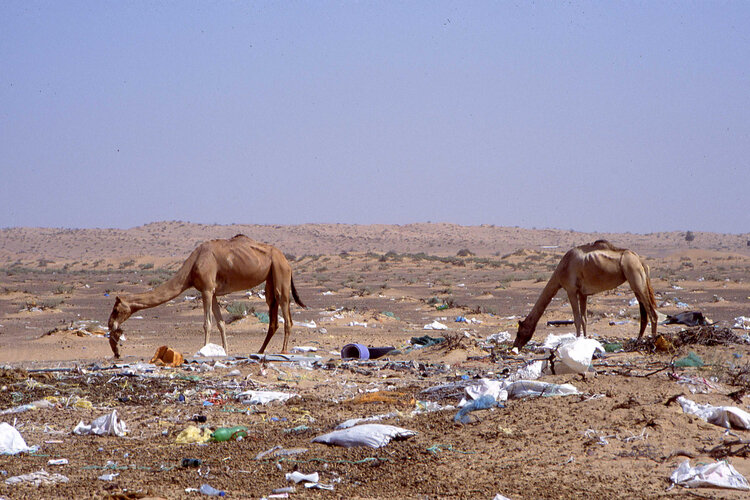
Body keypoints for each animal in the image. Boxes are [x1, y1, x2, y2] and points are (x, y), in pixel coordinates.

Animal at [107, 234, 305, 358]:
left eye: (116, 309)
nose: (110, 324)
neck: (192, 266)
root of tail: (286, 260)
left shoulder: (207, 289)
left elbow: (207, 323)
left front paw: (202, 350)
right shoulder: (213, 291)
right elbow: (221, 323)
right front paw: (224, 351)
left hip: (281, 272)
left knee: (285, 310)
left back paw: (283, 350)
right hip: (270, 277)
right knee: (273, 311)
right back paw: (260, 350)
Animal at [513, 240, 658, 349]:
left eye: (519, 333)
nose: (515, 346)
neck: (561, 270)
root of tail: (641, 261)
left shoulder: (571, 290)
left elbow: (576, 319)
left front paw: (576, 342)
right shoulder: (583, 293)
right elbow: (584, 319)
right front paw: (585, 341)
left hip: (635, 276)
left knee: (652, 313)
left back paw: (653, 343)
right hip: (636, 283)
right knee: (644, 313)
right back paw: (638, 341)